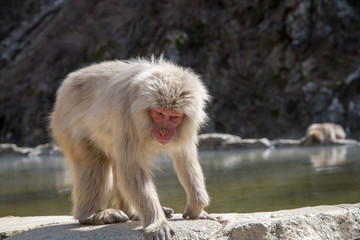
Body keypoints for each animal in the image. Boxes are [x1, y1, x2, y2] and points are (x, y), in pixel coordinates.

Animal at [50, 57, 214, 239]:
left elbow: (185, 158)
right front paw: (156, 223)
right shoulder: (128, 114)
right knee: (94, 162)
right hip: (68, 123)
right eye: (159, 113)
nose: (164, 132)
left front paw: (196, 207)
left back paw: (132, 213)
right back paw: (91, 215)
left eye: (173, 117)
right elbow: (132, 168)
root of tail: (68, 81)